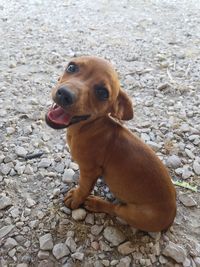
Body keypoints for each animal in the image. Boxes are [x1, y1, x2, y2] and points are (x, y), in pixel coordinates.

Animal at [45, 56, 177, 232]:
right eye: (71, 67)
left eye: (102, 93)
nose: (65, 94)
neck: (89, 127)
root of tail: (171, 216)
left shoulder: (89, 170)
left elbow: (84, 188)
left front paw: (77, 198)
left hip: (135, 213)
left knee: (115, 209)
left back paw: (96, 203)